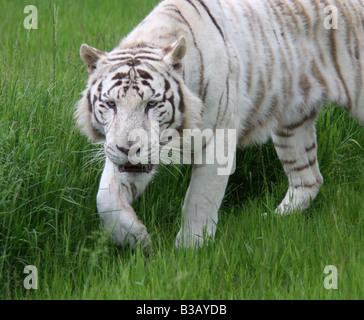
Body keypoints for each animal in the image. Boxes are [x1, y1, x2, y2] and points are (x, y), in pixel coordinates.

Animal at [75, 0, 362, 250]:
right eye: (111, 104)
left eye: (151, 104)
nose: (129, 149)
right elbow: (106, 197)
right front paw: (135, 238)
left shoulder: (218, 140)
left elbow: (199, 199)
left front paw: (189, 252)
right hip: (293, 122)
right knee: (309, 179)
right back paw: (272, 220)